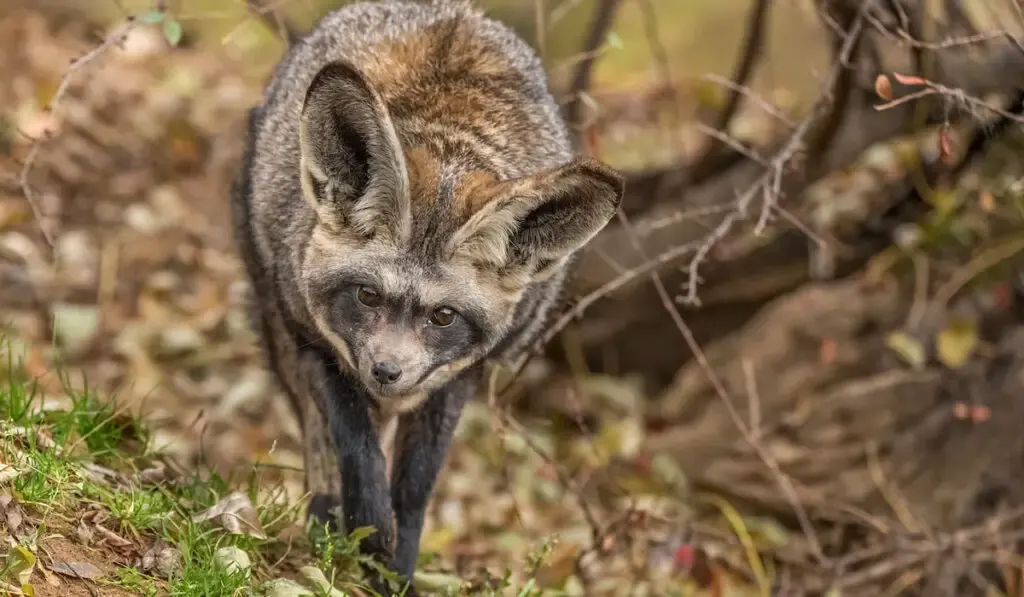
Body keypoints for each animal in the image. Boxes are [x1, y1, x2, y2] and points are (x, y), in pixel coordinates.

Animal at [230, 0, 622, 589]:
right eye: (368, 296)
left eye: (443, 316)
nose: (386, 373)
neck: (450, 137)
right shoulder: (318, 345)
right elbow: (358, 452)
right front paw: (367, 536)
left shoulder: (459, 378)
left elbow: (414, 488)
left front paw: (397, 570)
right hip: (278, 320)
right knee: (318, 441)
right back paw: (324, 527)